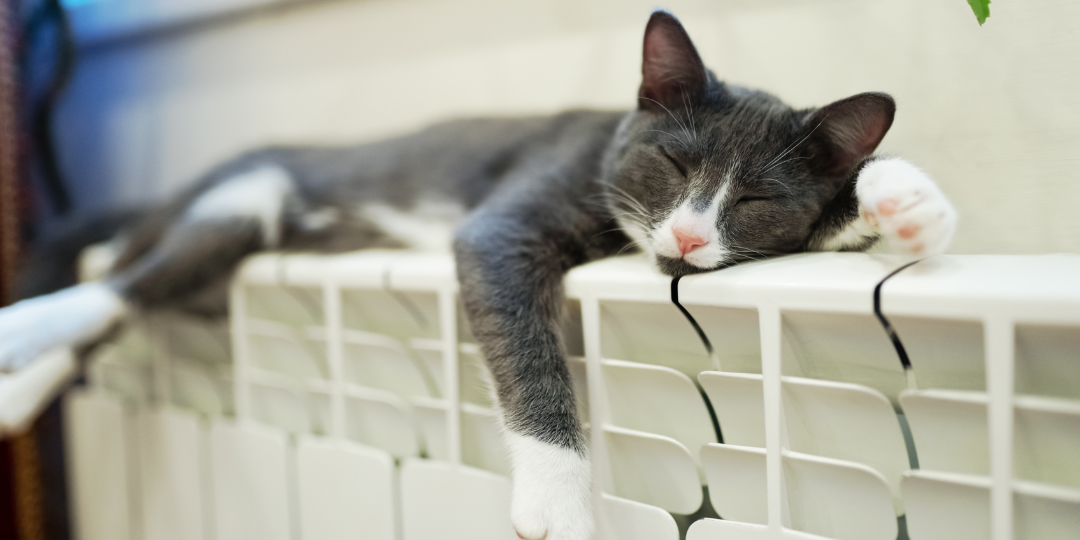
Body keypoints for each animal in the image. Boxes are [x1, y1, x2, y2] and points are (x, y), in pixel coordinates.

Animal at [4, 9, 959, 540]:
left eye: (756, 198)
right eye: (671, 162)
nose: (689, 238)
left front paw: (907, 203)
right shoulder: (507, 222)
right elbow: (529, 353)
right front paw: (560, 501)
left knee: (135, 297)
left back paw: (19, 387)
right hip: (243, 198)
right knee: (116, 283)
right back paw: (23, 338)